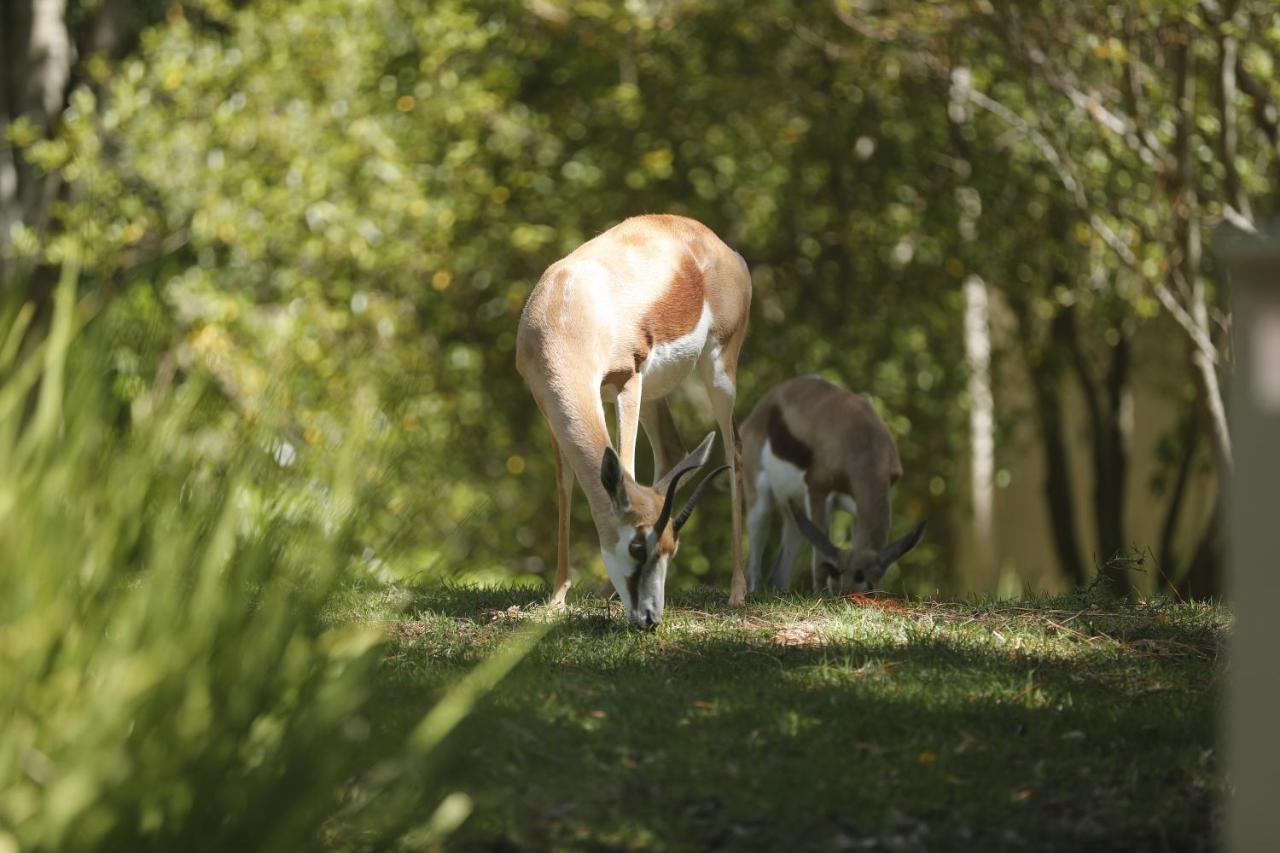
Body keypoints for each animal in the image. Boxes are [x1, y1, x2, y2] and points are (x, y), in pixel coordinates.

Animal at [514, 212, 747, 625]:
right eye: (639, 546)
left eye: (668, 550)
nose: (651, 617)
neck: (568, 311)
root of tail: (720, 246)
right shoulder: (546, 401)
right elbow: (565, 483)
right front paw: (557, 598)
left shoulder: (627, 379)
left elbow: (625, 463)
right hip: (655, 393)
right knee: (674, 451)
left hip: (718, 370)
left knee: (733, 448)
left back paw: (737, 591)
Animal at [737, 376, 926, 594]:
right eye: (837, 586)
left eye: (867, 589)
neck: (864, 441)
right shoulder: (818, 490)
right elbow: (819, 558)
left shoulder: (857, 508)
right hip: (760, 502)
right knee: (754, 558)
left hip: (794, 513)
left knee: (778, 575)